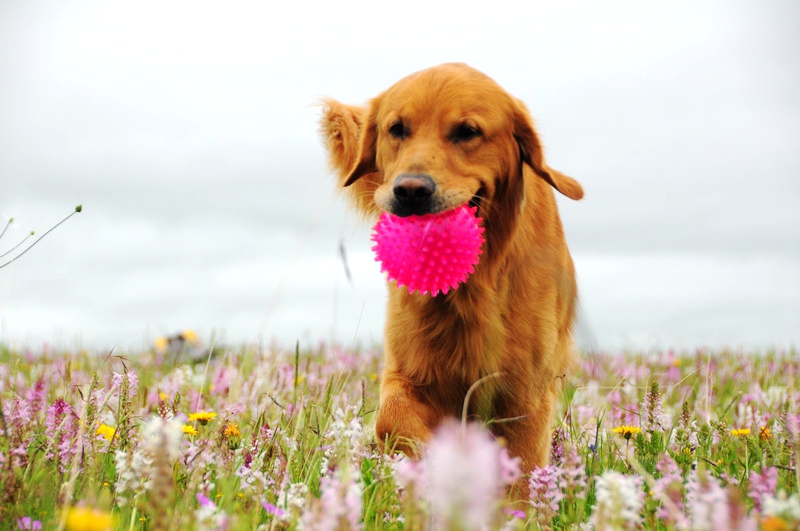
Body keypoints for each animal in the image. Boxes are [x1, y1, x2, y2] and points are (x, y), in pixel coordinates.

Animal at [322, 63, 584, 478]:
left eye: (467, 131)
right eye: (397, 129)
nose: (411, 191)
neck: (472, 285)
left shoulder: (525, 394)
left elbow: (523, 473)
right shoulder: (407, 370)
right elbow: (393, 418)